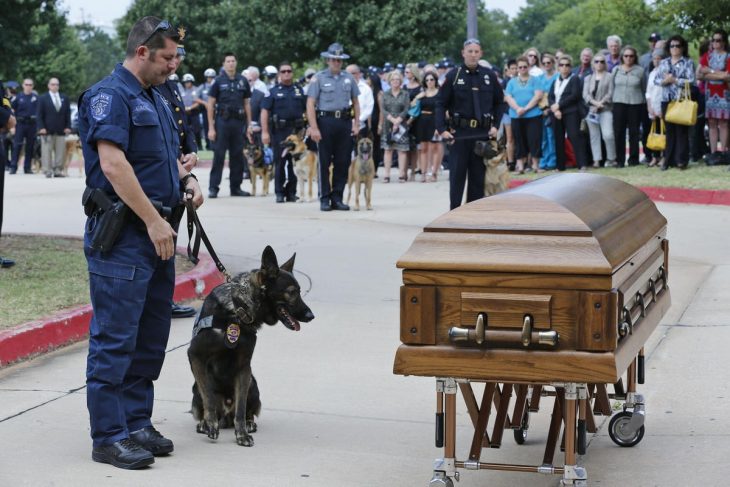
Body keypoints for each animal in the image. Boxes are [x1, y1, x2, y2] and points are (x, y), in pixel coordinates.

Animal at [185, 246, 312, 448]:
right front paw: (210, 424)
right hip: (195, 387)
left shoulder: (244, 367)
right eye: (292, 292)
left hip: (253, 382)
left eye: (299, 291)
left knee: (245, 410)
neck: (238, 310)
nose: (311, 315)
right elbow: (209, 399)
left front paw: (241, 434)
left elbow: (241, 407)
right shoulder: (195, 356)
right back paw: (204, 423)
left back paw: (249, 422)